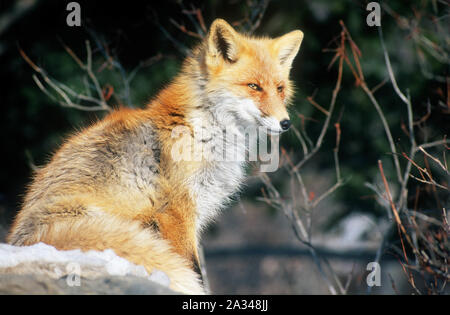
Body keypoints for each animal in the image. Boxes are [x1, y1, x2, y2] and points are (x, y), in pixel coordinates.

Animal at [7, 19, 304, 296]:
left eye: (279, 88)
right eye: (253, 86)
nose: (286, 123)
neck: (204, 131)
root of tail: (19, 241)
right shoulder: (177, 211)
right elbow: (192, 267)